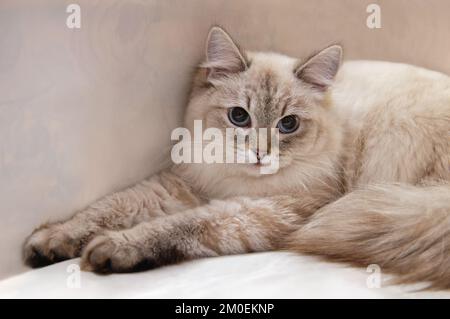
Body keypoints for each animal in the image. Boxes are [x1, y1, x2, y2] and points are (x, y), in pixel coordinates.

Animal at [23, 26, 450, 290]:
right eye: (239, 117)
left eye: (288, 124)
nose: (260, 153)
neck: (234, 181)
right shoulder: (181, 185)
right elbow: (106, 207)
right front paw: (50, 240)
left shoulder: (270, 208)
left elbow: (181, 225)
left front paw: (114, 249)